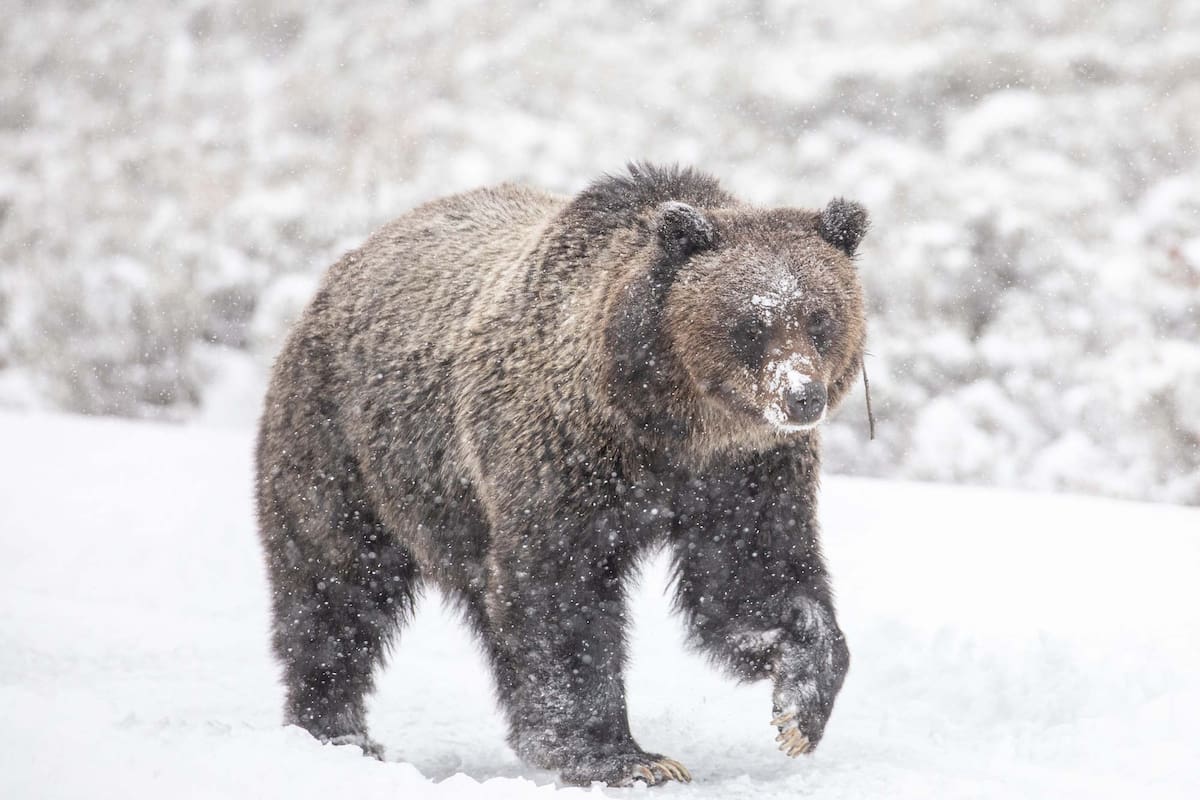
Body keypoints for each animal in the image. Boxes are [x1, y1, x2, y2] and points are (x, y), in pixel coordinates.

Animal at [255, 163, 868, 787]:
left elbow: (755, 578)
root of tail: (345, 264)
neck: (669, 431)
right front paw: (623, 756)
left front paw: (799, 706)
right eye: (751, 323)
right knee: (335, 587)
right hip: (347, 449)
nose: (802, 396)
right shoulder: (565, 458)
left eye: (820, 318)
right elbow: (562, 594)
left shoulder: (747, 476)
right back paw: (337, 731)